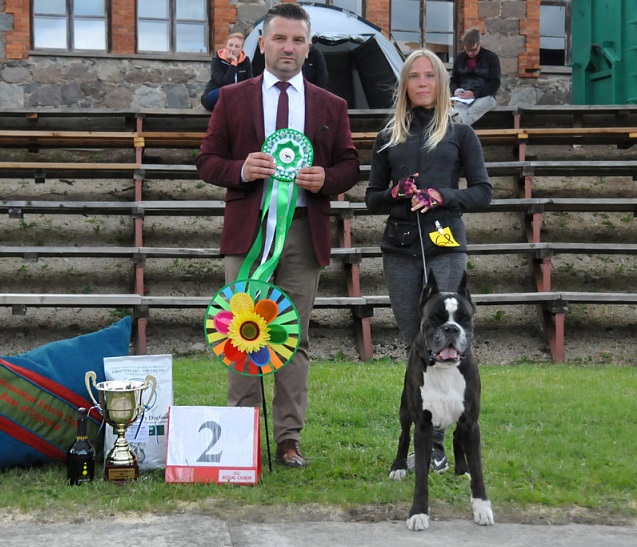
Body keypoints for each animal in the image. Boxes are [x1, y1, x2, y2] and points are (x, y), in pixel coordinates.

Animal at [389, 271, 494, 530]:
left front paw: (481, 507)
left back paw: (462, 469)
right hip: (405, 411)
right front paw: (418, 512)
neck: (445, 368)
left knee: (456, 437)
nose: (451, 329)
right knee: (403, 436)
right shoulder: (423, 426)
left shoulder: (471, 423)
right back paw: (399, 467)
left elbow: (478, 468)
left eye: (465, 319)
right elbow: (421, 477)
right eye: (435, 318)